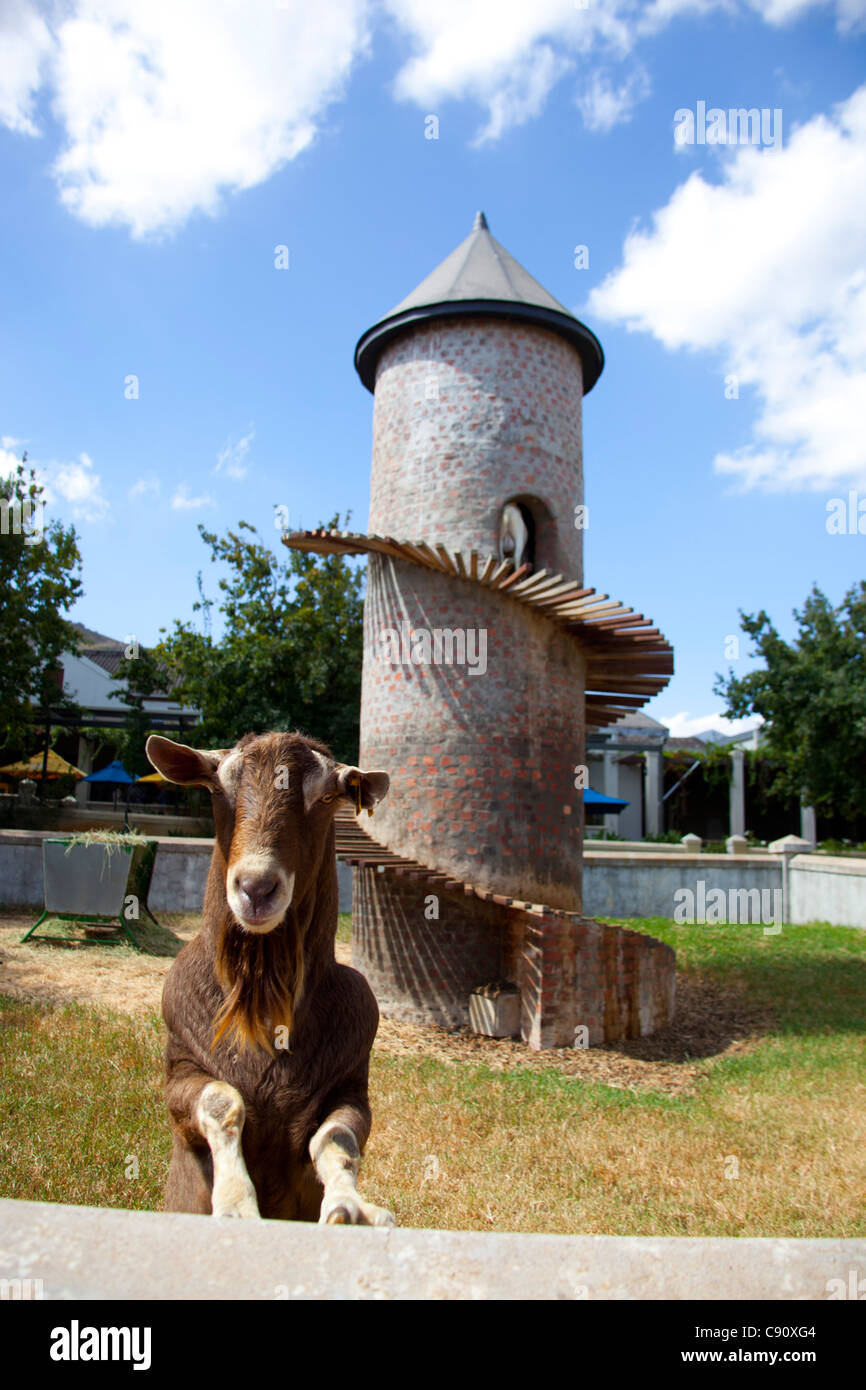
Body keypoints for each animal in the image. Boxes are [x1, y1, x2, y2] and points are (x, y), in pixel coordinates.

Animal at [146, 728, 397, 1228]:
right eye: (217, 788)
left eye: (327, 796)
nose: (256, 888)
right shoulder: (180, 1066)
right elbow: (221, 1101)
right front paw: (236, 1204)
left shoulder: (350, 1083)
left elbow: (338, 1138)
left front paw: (352, 1208)